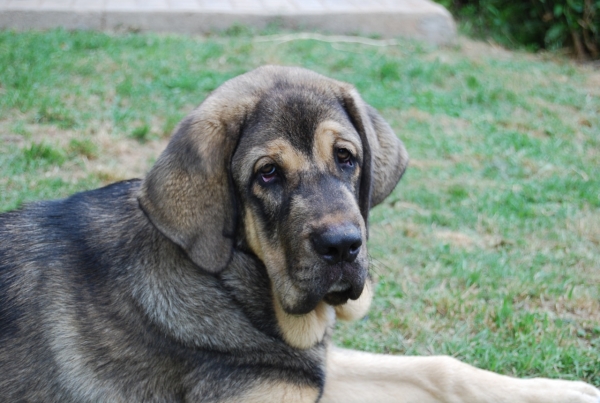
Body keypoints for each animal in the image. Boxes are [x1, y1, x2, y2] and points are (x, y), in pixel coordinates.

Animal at [1, 64, 600, 402]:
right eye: (267, 173)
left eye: (347, 158)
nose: (343, 247)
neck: (235, 289)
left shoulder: (315, 367)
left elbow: (437, 366)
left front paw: (564, 391)